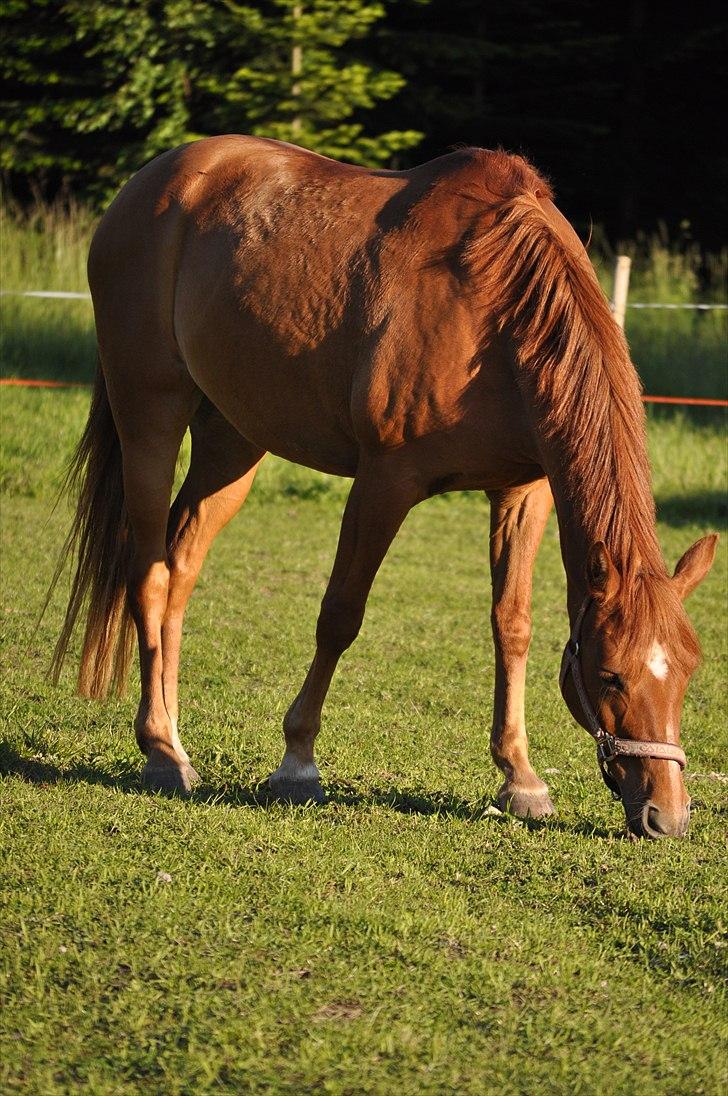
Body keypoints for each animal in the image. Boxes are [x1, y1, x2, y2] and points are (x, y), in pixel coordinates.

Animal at [49, 137, 714, 837]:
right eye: (610, 676)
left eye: (689, 670)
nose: (667, 815)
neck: (494, 310)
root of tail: (151, 183)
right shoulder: (384, 482)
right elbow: (340, 616)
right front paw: (297, 763)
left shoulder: (523, 493)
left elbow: (512, 626)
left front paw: (521, 778)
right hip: (149, 412)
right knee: (148, 573)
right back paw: (160, 752)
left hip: (232, 441)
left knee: (180, 568)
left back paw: (174, 740)